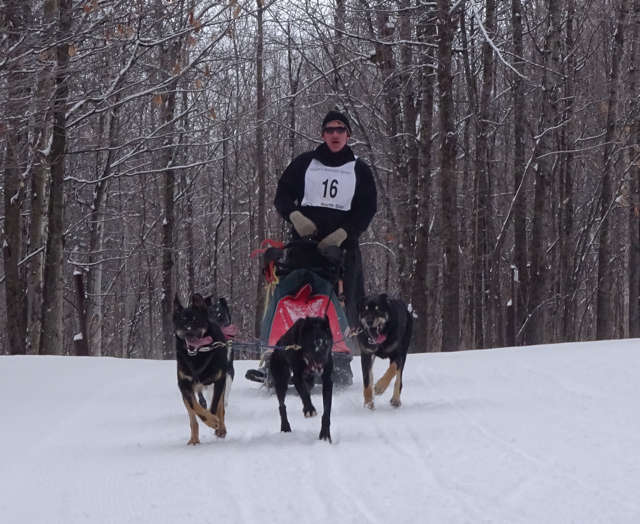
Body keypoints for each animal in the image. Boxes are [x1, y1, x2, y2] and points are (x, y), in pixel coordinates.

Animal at [173, 293, 229, 444]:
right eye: (182, 322)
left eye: (196, 321)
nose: (189, 333)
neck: (197, 357)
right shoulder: (184, 384)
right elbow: (195, 407)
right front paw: (209, 420)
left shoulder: (220, 380)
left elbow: (215, 406)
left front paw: (214, 422)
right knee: (193, 419)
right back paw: (194, 439)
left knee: (221, 408)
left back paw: (221, 428)